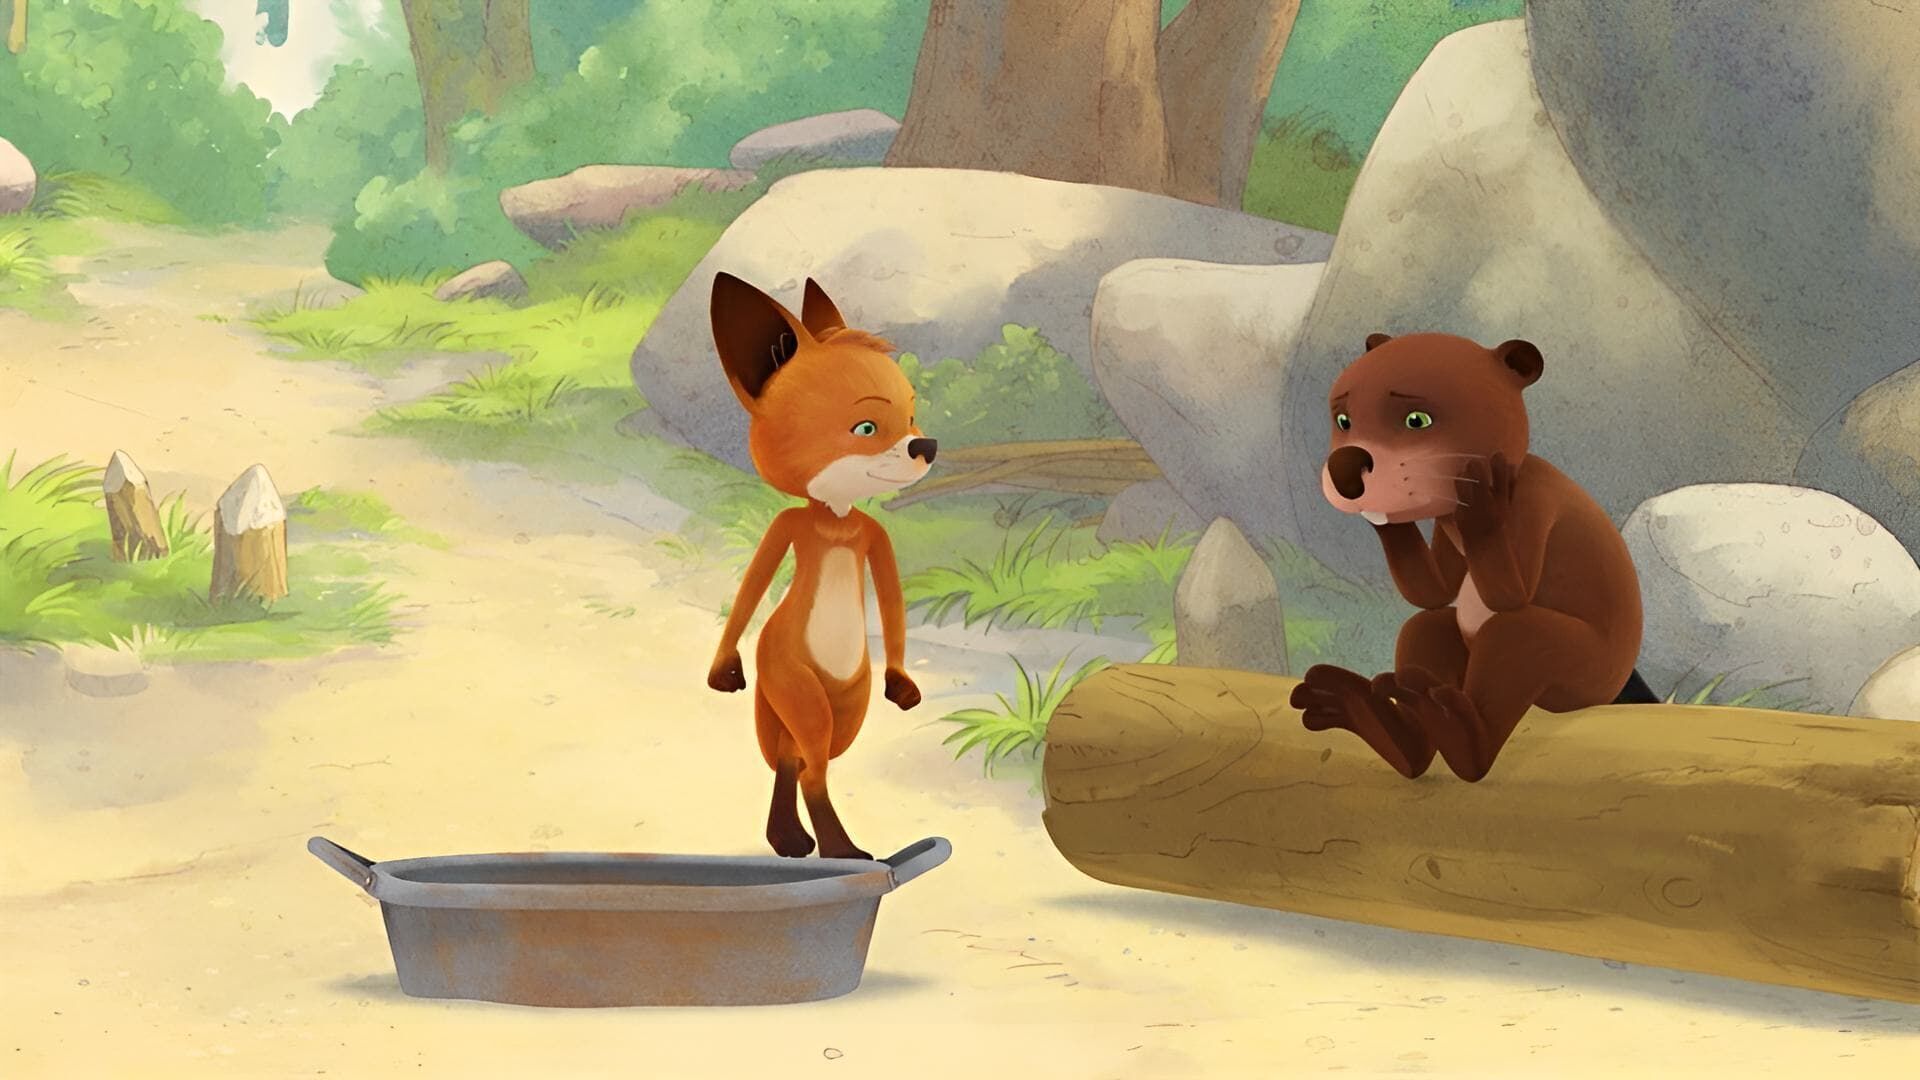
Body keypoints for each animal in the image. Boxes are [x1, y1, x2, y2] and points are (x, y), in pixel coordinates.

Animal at [705, 272, 938, 861]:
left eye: (911, 417)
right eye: (866, 427)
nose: (926, 444)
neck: (834, 518)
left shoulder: (874, 538)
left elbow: (893, 600)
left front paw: (903, 682)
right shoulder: (786, 527)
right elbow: (753, 584)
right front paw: (722, 668)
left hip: (851, 706)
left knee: (800, 756)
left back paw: (792, 836)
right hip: (798, 686)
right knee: (806, 760)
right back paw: (826, 845)